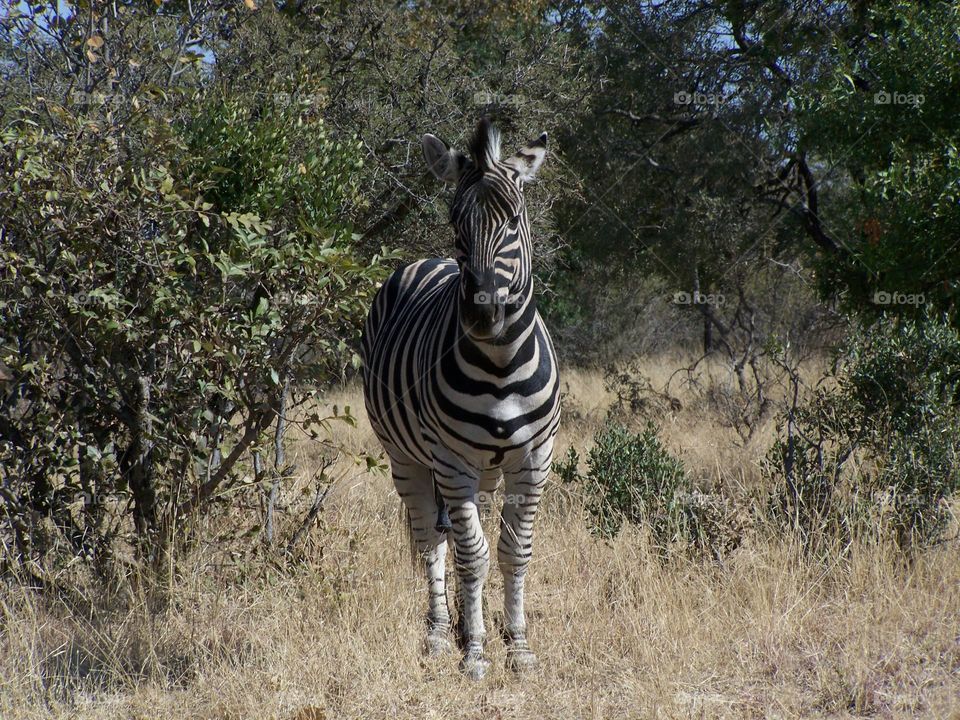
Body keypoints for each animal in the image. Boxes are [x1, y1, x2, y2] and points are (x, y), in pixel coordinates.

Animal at [361, 118, 560, 679]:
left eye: (513, 220)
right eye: (456, 225)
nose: (482, 314)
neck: (500, 362)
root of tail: (425, 261)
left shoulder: (534, 459)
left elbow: (514, 551)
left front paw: (518, 646)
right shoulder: (451, 461)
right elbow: (472, 555)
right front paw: (474, 653)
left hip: (487, 469)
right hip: (406, 457)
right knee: (431, 538)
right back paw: (437, 632)